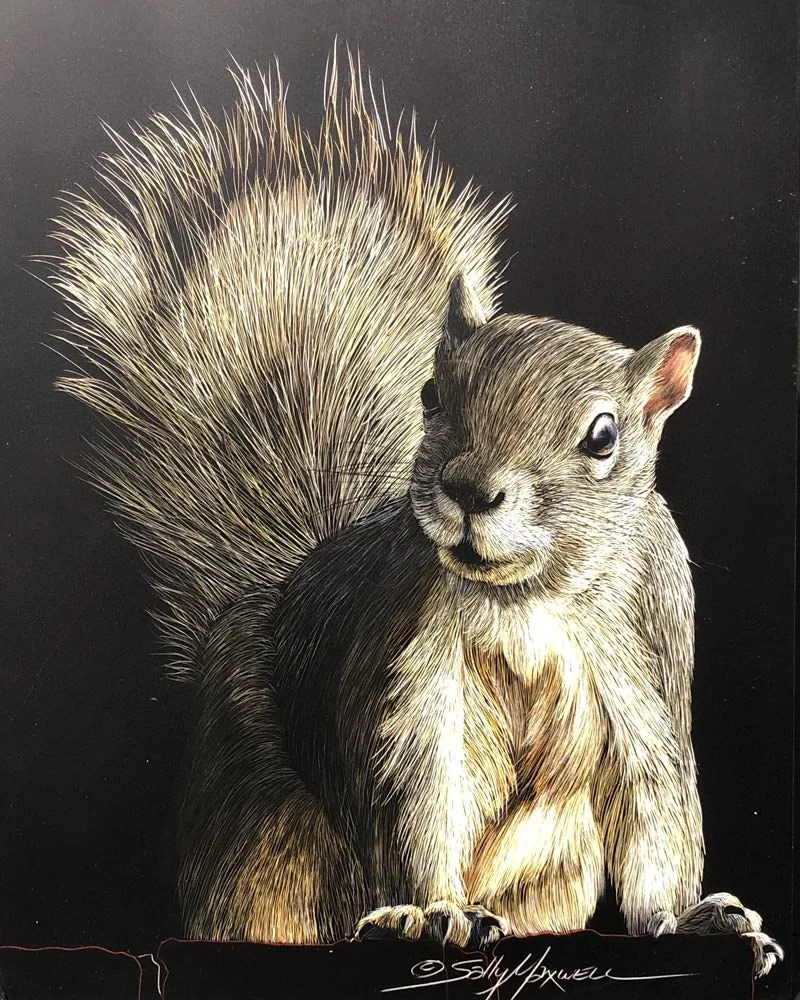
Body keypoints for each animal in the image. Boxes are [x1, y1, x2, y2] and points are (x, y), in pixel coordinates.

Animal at [49, 51, 782, 975]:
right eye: (432, 396)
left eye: (604, 435)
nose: (470, 488)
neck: (525, 601)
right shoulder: (409, 675)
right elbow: (413, 792)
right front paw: (434, 912)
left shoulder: (646, 662)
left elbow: (655, 807)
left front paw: (687, 920)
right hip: (256, 834)